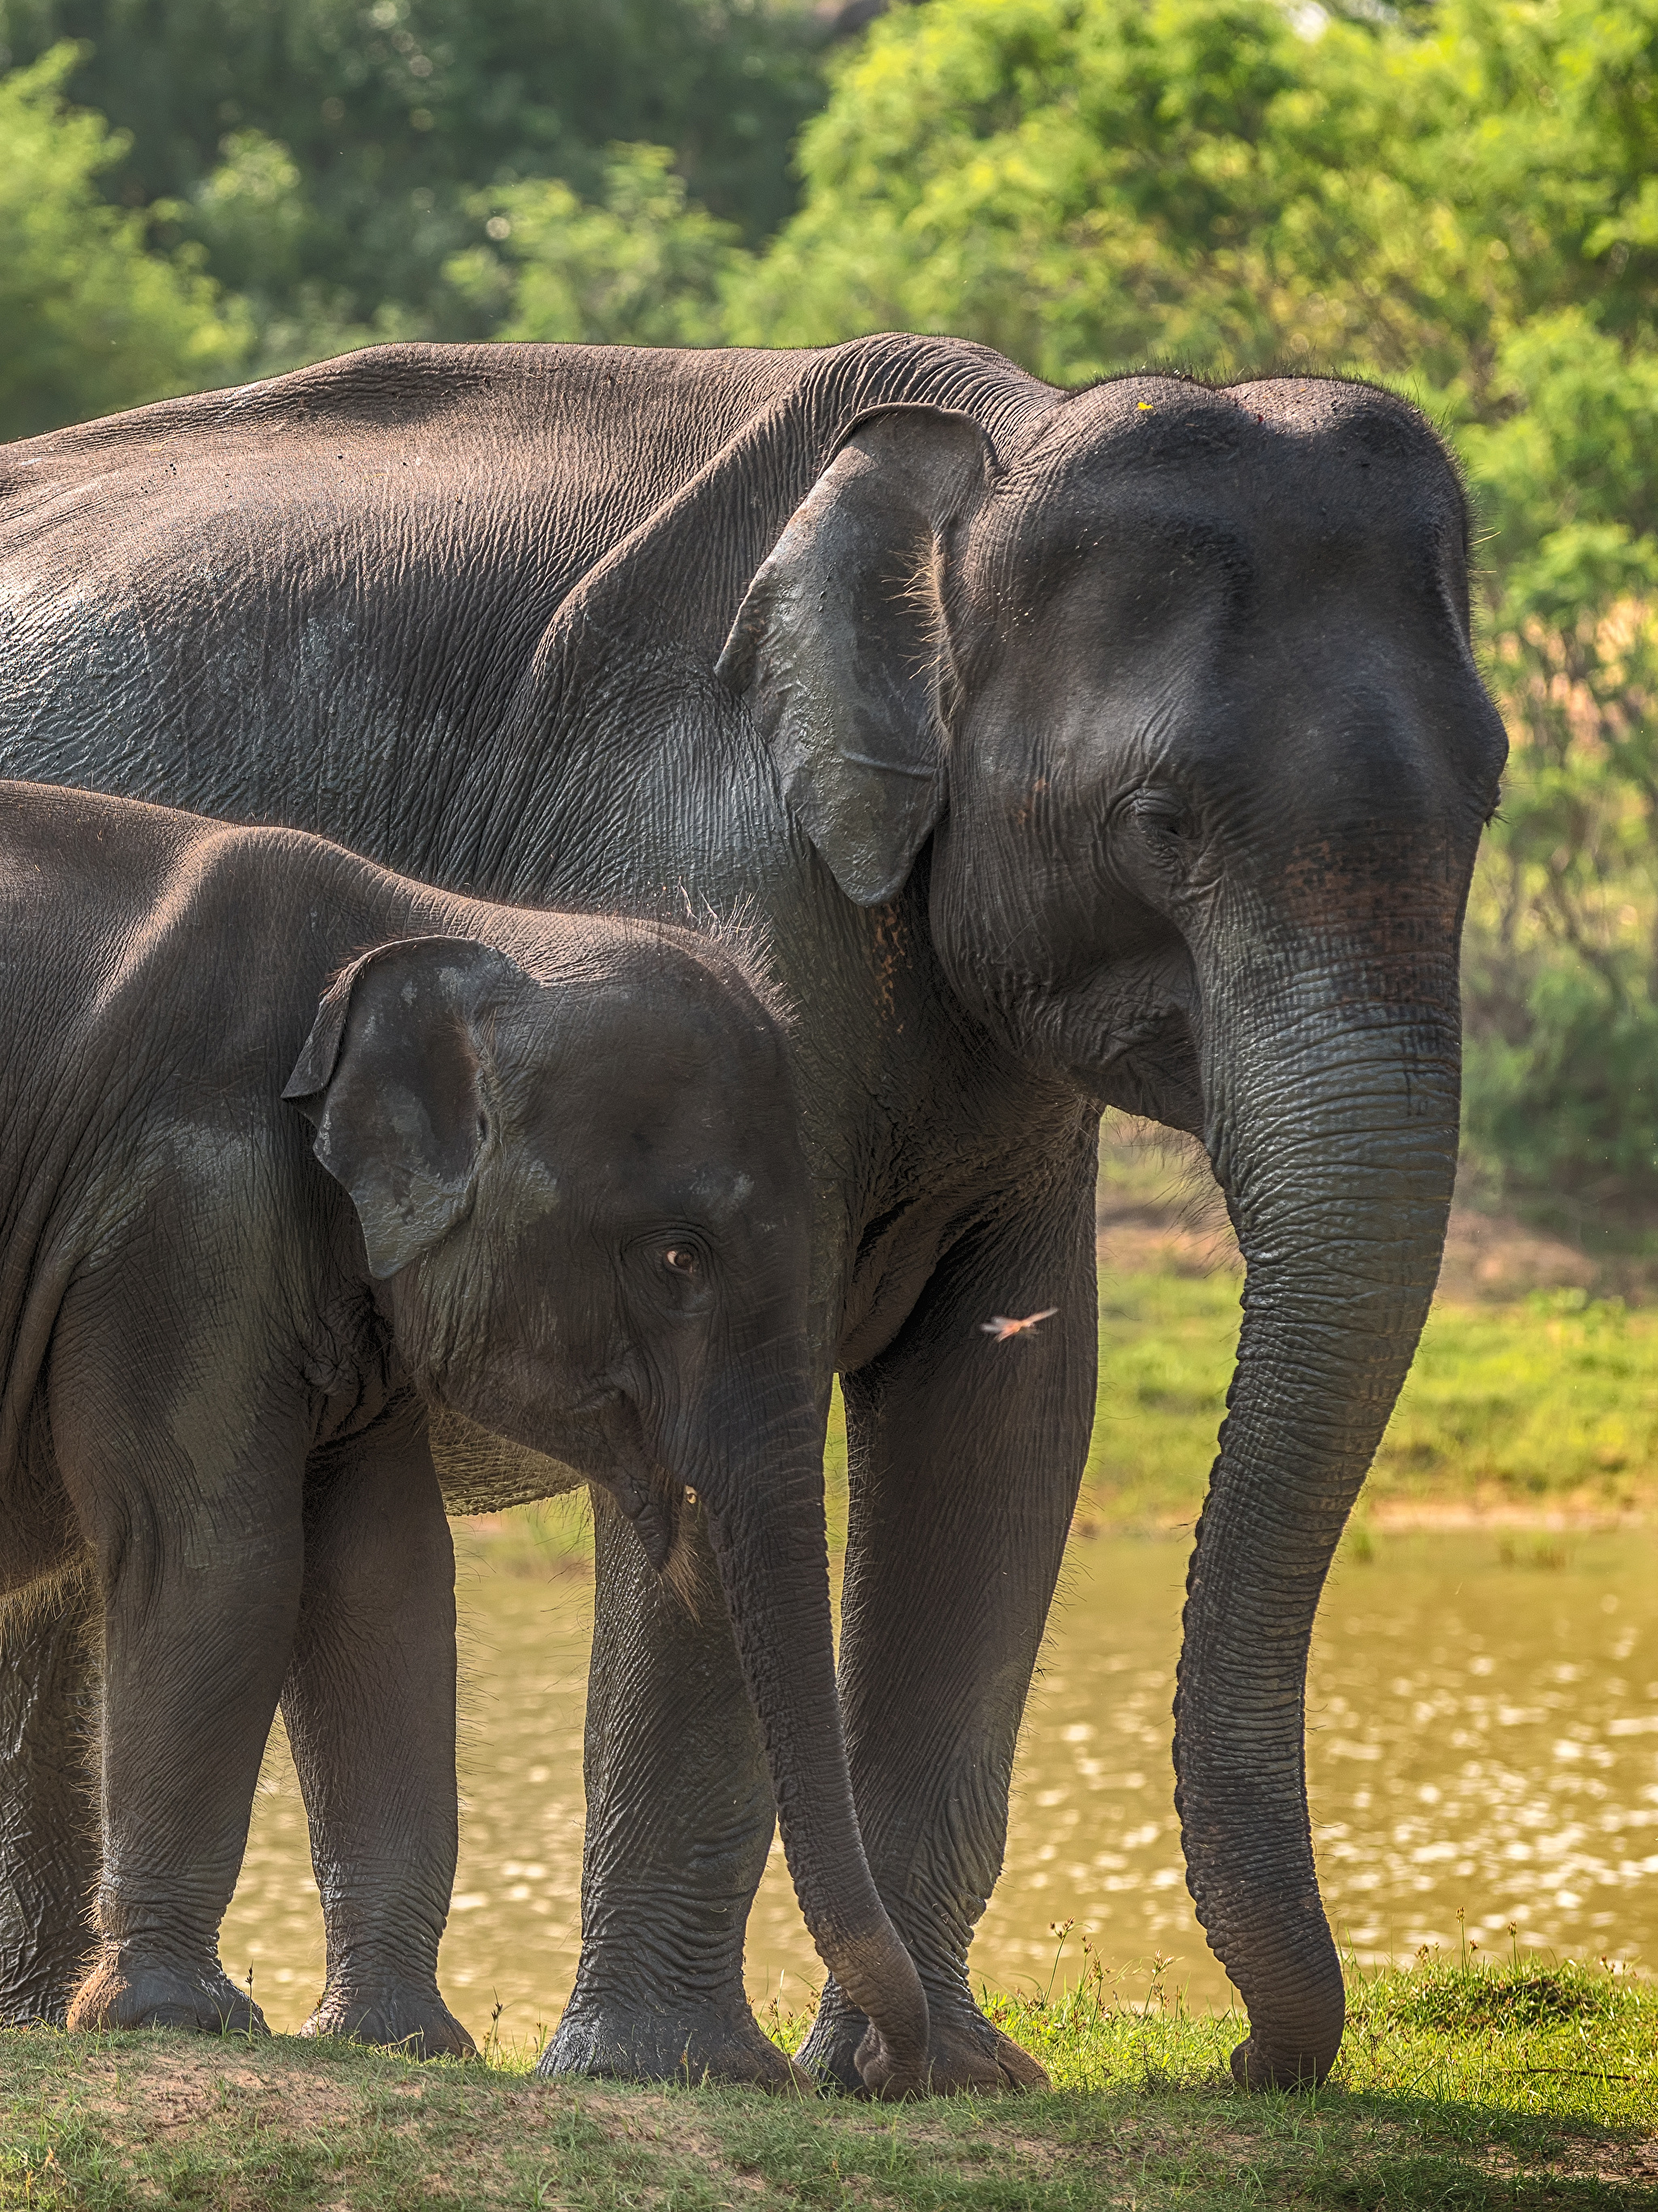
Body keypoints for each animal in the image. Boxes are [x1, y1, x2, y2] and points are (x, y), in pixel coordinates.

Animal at [0, 778, 937, 2088]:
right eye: (678, 1260)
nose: (871, 2077)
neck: (445, 925)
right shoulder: (179, 1213)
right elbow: (215, 1556)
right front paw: (172, 2020)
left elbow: (383, 1582)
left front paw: (402, 2042)